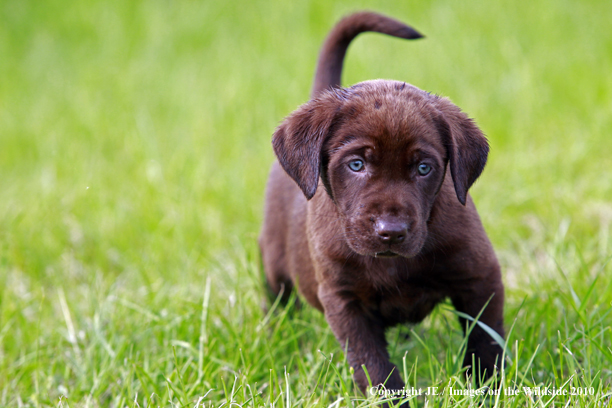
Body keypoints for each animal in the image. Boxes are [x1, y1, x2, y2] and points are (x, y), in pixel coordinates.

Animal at [260, 11, 504, 400]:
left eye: (424, 168)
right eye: (357, 164)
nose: (391, 232)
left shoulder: (480, 277)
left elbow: (485, 344)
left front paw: (484, 390)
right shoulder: (344, 301)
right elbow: (373, 367)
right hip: (274, 263)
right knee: (278, 301)